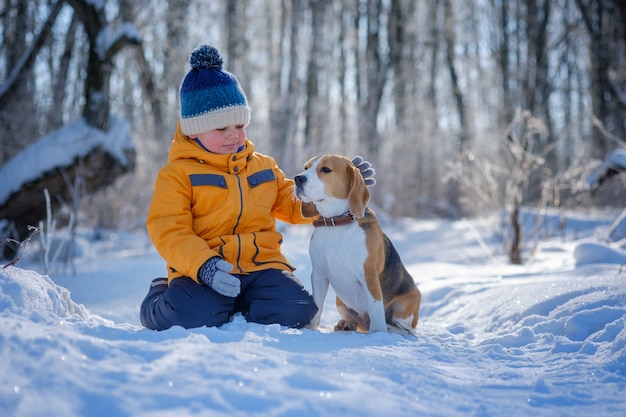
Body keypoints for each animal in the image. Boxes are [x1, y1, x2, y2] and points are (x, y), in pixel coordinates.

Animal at [294, 154, 420, 334]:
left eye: (326, 169)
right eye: (306, 168)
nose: (298, 179)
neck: (336, 223)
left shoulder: (369, 275)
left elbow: (375, 308)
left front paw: (378, 334)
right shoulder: (318, 273)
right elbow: (317, 304)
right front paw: (311, 328)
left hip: (408, 304)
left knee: (406, 330)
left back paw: (389, 329)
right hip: (340, 300)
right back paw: (346, 324)